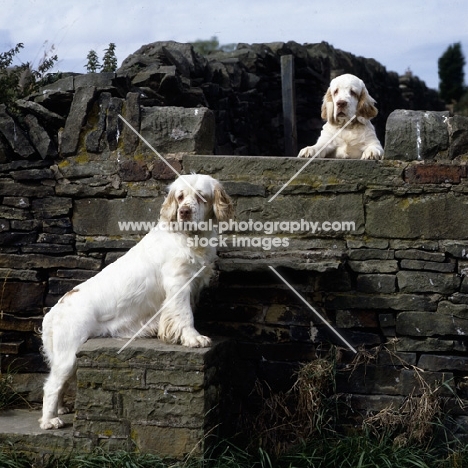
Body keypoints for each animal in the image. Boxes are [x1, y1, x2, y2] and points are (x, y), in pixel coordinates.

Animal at [39, 174, 233, 430]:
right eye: (180, 196)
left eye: (201, 196)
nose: (184, 212)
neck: (190, 237)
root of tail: (55, 310)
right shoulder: (178, 282)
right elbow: (184, 315)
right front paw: (194, 338)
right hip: (68, 353)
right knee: (51, 386)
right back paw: (49, 421)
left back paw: (61, 408)